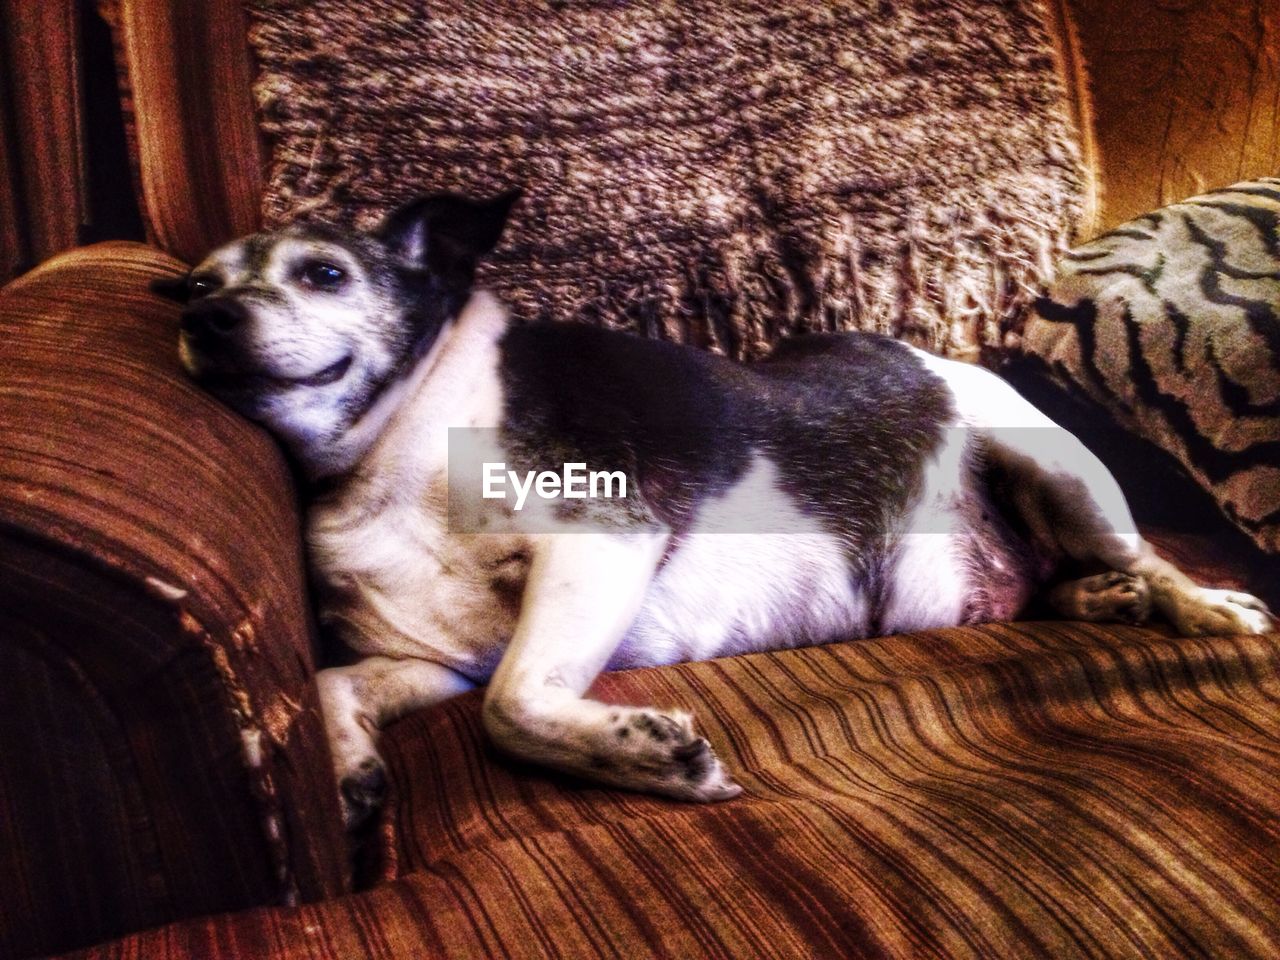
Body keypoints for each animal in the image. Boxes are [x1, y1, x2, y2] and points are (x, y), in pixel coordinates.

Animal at [160, 192, 1280, 829]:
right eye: (197, 287)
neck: (385, 454)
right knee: (1060, 584)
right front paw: (349, 768)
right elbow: (336, 686)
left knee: (1150, 557)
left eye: (324, 274)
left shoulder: (598, 546)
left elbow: (512, 706)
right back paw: (1102, 601)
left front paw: (649, 756)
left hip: (1060, 473)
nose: (205, 319)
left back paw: (1200, 607)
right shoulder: (436, 659)